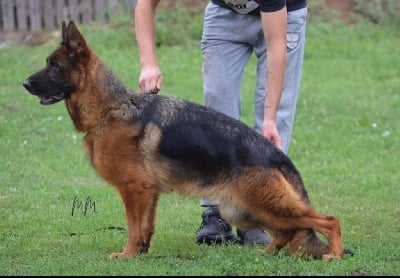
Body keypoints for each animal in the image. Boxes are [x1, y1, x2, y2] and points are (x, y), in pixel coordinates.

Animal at [23, 21, 352, 260]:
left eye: (54, 66)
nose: (24, 83)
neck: (110, 108)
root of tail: (275, 154)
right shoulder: (148, 193)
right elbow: (145, 228)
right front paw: (141, 254)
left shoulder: (134, 190)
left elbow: (132, 228)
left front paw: (126, 256)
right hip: (244, 209)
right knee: (287, 232)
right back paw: (267, 253)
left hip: (265, 204)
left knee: (328, 220)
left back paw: (333, 255)